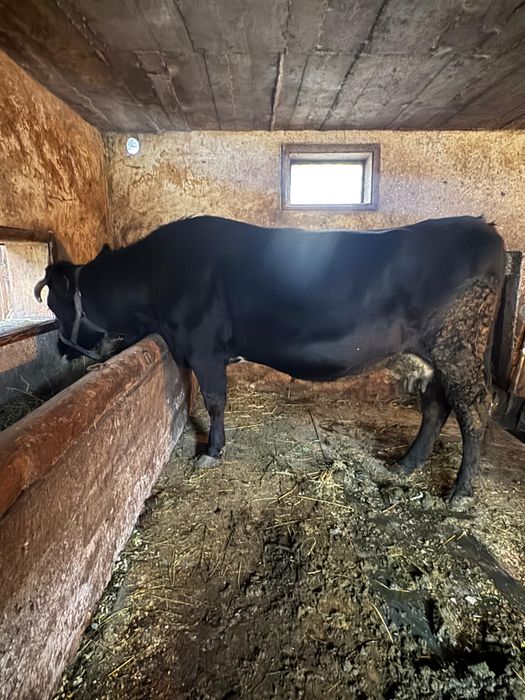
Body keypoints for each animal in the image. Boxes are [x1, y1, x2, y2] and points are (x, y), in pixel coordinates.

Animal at [34, 215, 505, 501]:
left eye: (55, 306)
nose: (61, 351)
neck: (156, 278)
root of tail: (481, 227)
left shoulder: (204, 347)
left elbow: (215, 400)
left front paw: (212, 450)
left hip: (459, 347)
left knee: (474, 411)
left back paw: (461, 493)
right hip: (431, 355)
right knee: (436, 405)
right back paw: (407, 464)